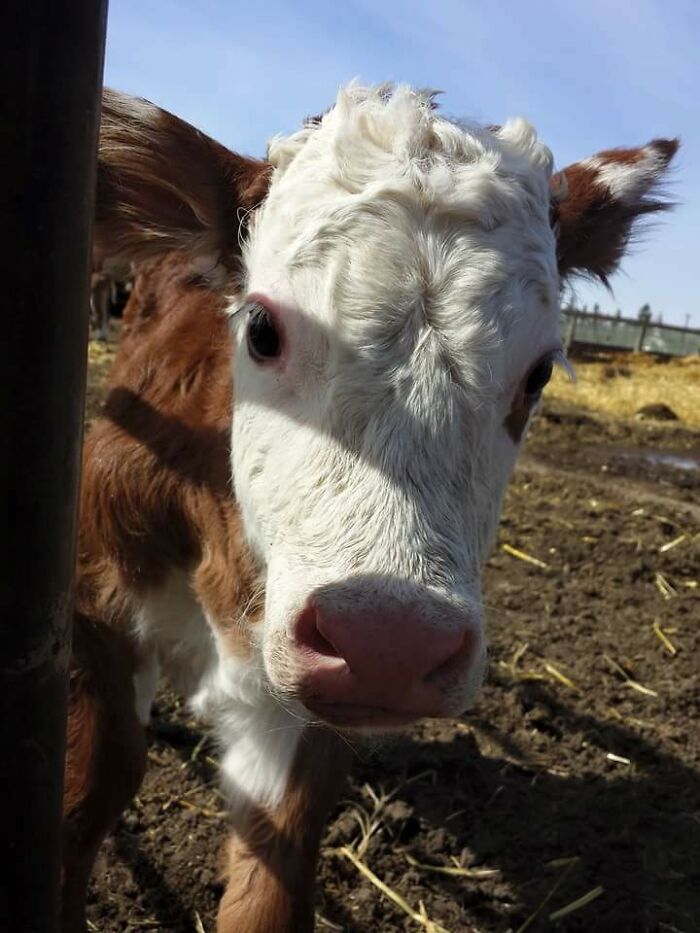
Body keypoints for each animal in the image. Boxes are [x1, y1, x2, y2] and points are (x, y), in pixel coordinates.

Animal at [63, 83, 678, 932]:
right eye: (261, 328)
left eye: (540, 374)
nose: (388, 641)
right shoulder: (94, 594)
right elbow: (95, 786)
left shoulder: (301, 725)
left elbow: (270, 877)